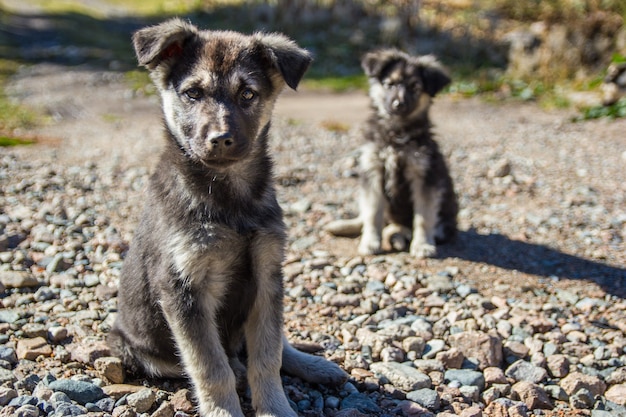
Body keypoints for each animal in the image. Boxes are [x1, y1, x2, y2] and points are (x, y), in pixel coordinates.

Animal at [109, 18, 348, 416]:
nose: (220, 139)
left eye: (248, 94)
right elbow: (210, 366)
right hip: (136, 347)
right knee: (217, 360)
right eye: (192, 93)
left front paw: (275, 407)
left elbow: (267, 354)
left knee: (274, 345)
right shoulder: (182, 288)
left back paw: (314, 365)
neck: (230, 199)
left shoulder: (268, 274)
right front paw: (224, 408)